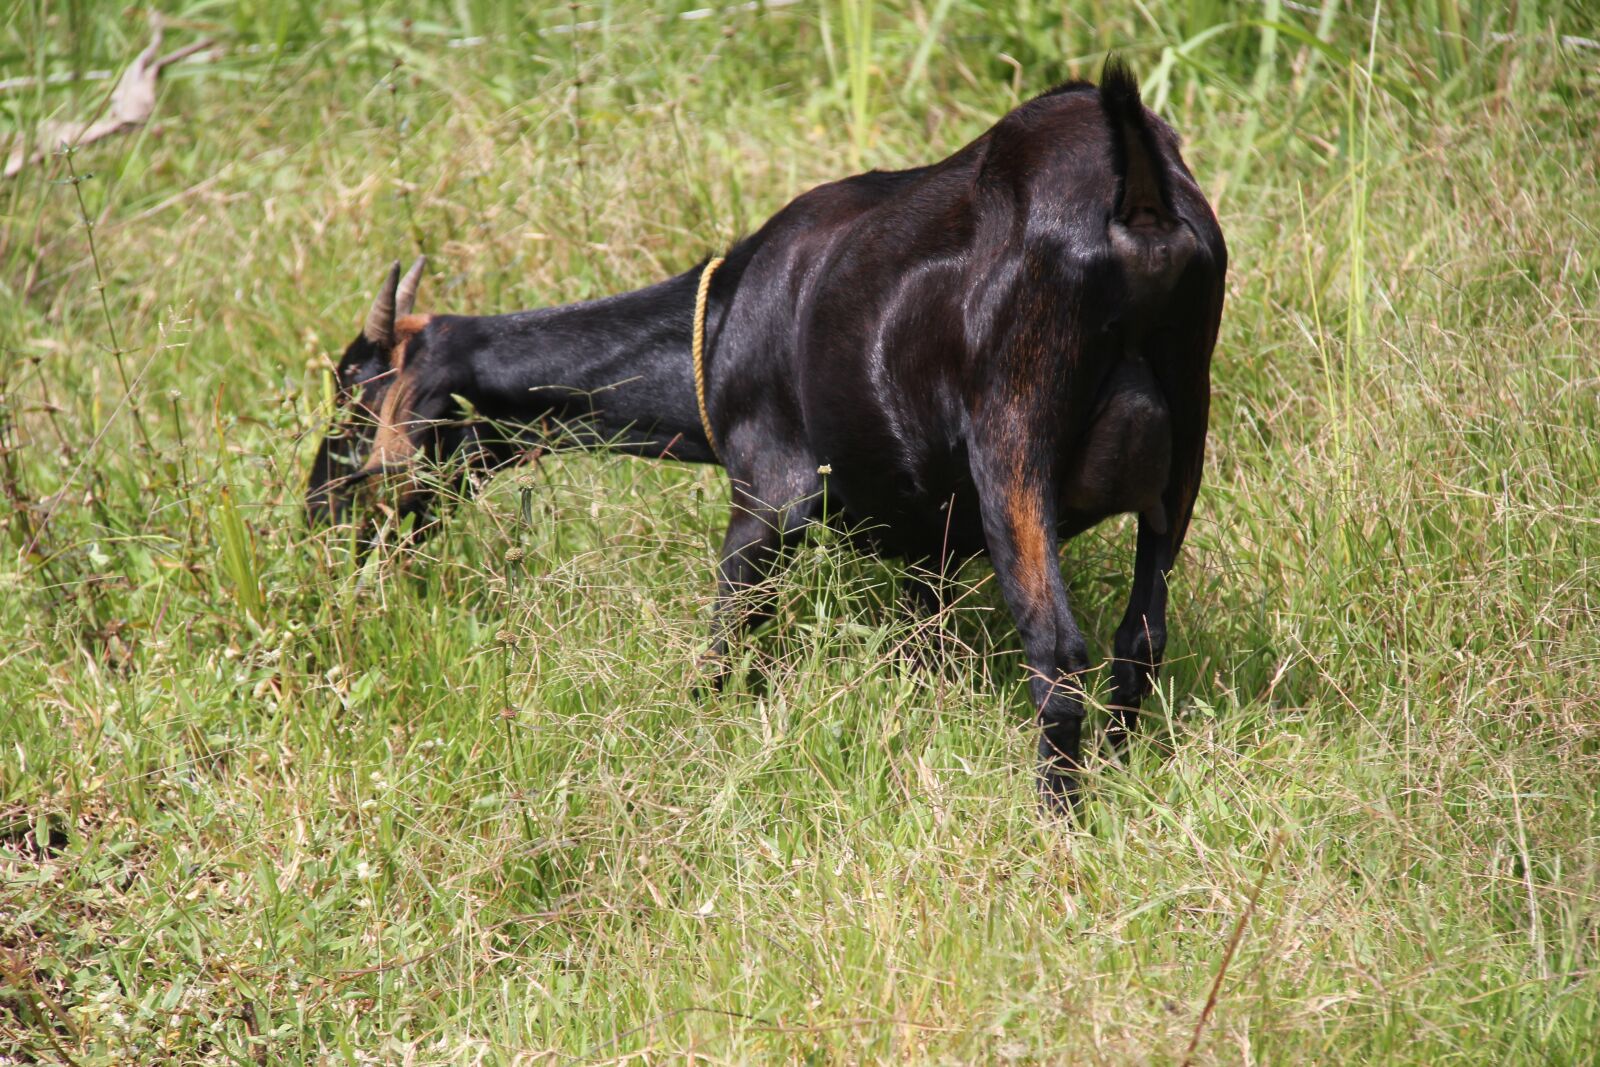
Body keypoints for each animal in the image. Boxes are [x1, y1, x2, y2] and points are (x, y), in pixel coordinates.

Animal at [306, 62, 1226, 809]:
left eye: (353, 393)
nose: (315, 516)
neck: (719, 323)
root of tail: (1135, 195)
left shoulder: (767, 491)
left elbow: (726, 635)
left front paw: (692, 729)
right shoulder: (925, 535)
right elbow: (921, 635)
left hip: (1013, 442)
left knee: (1058, 650)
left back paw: (1057, 817)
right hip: (1185, 442)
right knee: (1140, 638)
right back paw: (1119, 770)